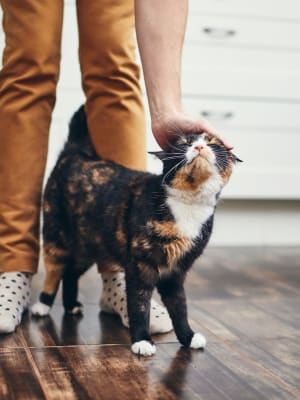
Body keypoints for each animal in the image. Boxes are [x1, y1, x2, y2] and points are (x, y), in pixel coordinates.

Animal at [31, 104, 241, 354]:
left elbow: (180, 307)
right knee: (54, 271)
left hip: (89, 245)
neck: (189, 205)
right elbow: (139, 305)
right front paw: (141, 340)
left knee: (71, 272)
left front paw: (188, 337)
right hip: (56, 236)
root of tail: (75, 153)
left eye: (212, 143)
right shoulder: (140, 266)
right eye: (184, 143)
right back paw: (42, 304)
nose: (199, 146)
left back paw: (71, 305)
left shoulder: (176, 271)